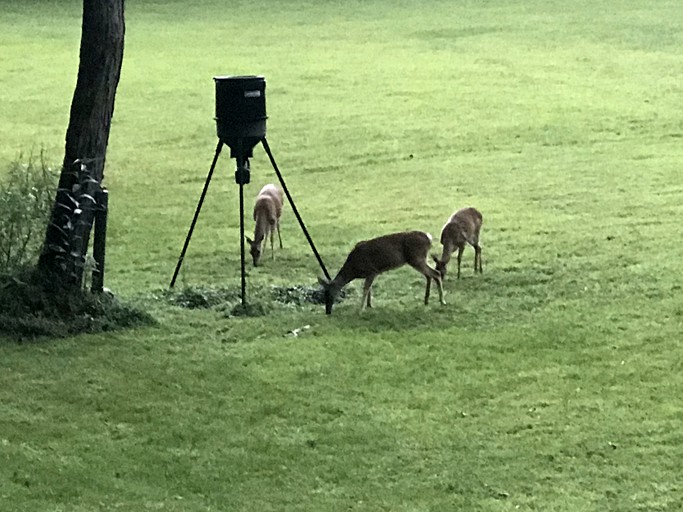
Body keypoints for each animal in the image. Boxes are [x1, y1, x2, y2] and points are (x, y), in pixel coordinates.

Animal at [318, 230, 446, 314]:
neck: (354, 269)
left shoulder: (372, 271)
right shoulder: (371, 273)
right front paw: (369, 305)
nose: (327, 311)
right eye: (324, 294)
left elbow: (366, 289)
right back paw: (427, 300)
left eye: (329, 294)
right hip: (419, 258)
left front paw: (361, 309)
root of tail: (429, 238)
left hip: (416, 258)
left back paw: (442, 301)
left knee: (436, 273)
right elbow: (369, 289)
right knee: (430, 274)